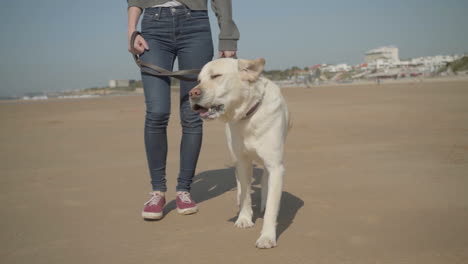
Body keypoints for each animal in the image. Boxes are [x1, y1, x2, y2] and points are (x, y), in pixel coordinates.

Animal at [189, 57, 288, 248]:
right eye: (198, 80)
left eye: (216, 76)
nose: (191, 93)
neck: (249, 115)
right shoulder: (242, 162)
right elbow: (245, 195)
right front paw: (244, 218)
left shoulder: (275, 166)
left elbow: (272, 205)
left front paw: (267, 236)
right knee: (241, 186)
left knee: (264, 180)